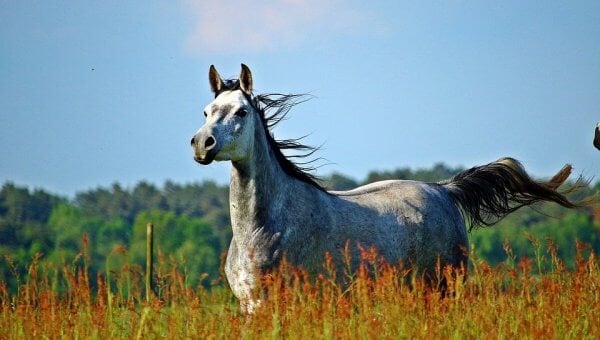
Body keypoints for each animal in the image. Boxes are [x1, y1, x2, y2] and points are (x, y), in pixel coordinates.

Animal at [191, 63, 584, 314]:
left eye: (241, 112)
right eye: (207, 110)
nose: (202, 144)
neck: (263, 228)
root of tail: (443, 189)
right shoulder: (250, 306)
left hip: (444, 288)